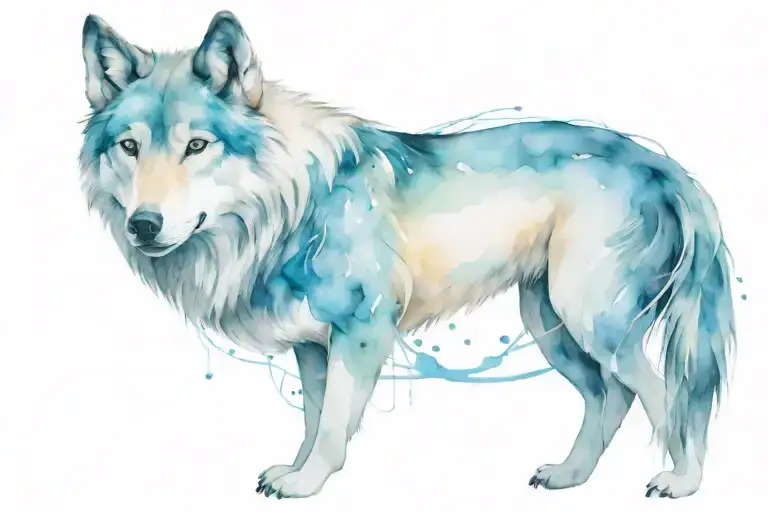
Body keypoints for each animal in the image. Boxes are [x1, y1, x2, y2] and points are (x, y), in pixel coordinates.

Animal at [79, 11, 736, 500]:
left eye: (197, 146)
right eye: (129, 147)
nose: (144, 225)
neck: (292, 205)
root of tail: (660, 162)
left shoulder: (362, 330)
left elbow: (334, 425)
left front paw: (309, 483)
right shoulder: (312, 347)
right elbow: (313, 418)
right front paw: (295, 471)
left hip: (592, 322)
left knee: (671, 396)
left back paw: (683, 483)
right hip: (551, 324)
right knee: (611, 395)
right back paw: (570, 475)